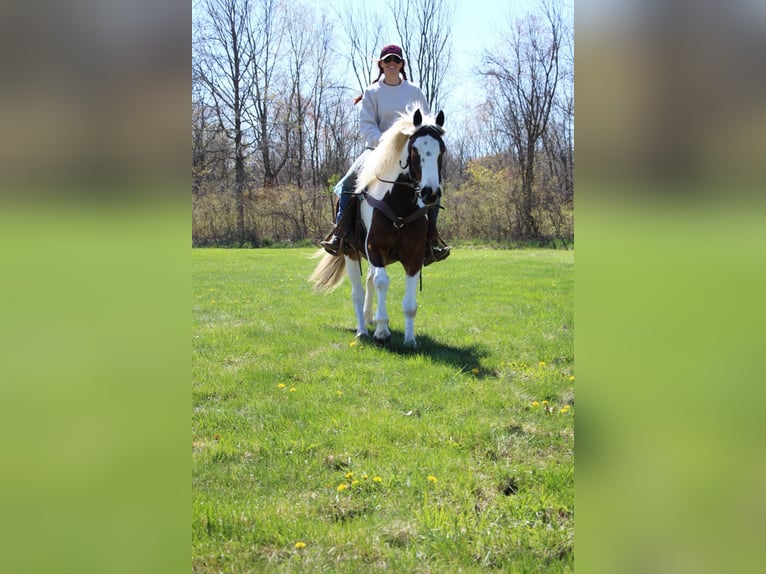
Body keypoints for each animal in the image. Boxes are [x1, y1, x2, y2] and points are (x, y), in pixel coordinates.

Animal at [308, 108, 448, 352]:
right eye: (415, 150)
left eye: (442, 150)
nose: (430, 192)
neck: (399, 205)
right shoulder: (374, 249)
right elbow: (382, 283)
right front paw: (382, 332)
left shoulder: (414, 256)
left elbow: (409, 302)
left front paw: (410, 339)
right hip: (350, 252)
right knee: (358, 291)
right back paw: (363, 329)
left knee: (369, 281)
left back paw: (369, 318)